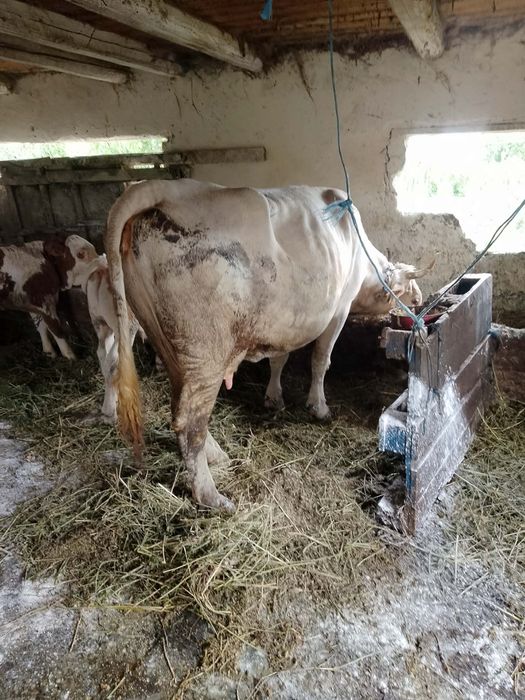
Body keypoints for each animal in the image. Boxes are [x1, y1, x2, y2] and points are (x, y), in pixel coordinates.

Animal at [104, 179, 432, 512]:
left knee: (180, 405)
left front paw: (274, 397)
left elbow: (279, 360)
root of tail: (162, 188)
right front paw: (319, 407)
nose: (420, 300)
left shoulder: (285, 320)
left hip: (169, 343)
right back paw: (210, 495)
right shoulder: (339, 309)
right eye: (406, 289)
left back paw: (216, 456)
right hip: (204, 351)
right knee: (189, 420)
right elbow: (320, 360)